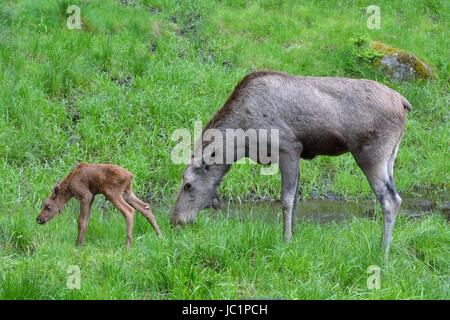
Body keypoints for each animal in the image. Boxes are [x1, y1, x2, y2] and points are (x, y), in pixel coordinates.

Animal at [171, 70, 412, 258]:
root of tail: (404, 102)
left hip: (370, 155)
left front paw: (285, 239)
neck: (241, 142)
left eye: (188, 185)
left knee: (390, 200)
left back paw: (383, 252)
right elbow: (295, 199)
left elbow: (286, 200)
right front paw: (294, 235)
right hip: (390, 157)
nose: (174, 220)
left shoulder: (288, 149)